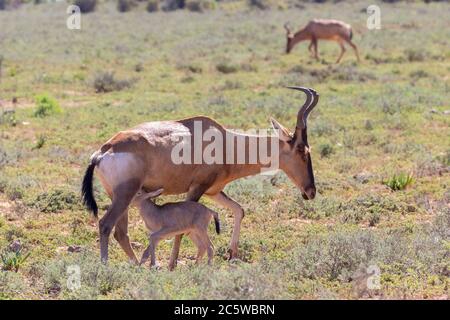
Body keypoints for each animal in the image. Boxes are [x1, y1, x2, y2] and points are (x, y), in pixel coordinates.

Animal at [81, 86, 320, 268]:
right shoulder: (196, 189)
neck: (224, 141)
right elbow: (182, 230)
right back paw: (108, 265)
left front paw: (232, 253)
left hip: (122, 197)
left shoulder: (213, 191)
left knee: (121, 233)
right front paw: (172, 264)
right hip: (125, 195)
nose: (310, 192)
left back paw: (136, 265)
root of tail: (103, 151)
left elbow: (239, 210)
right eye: (302, 149)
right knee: (106, 225)